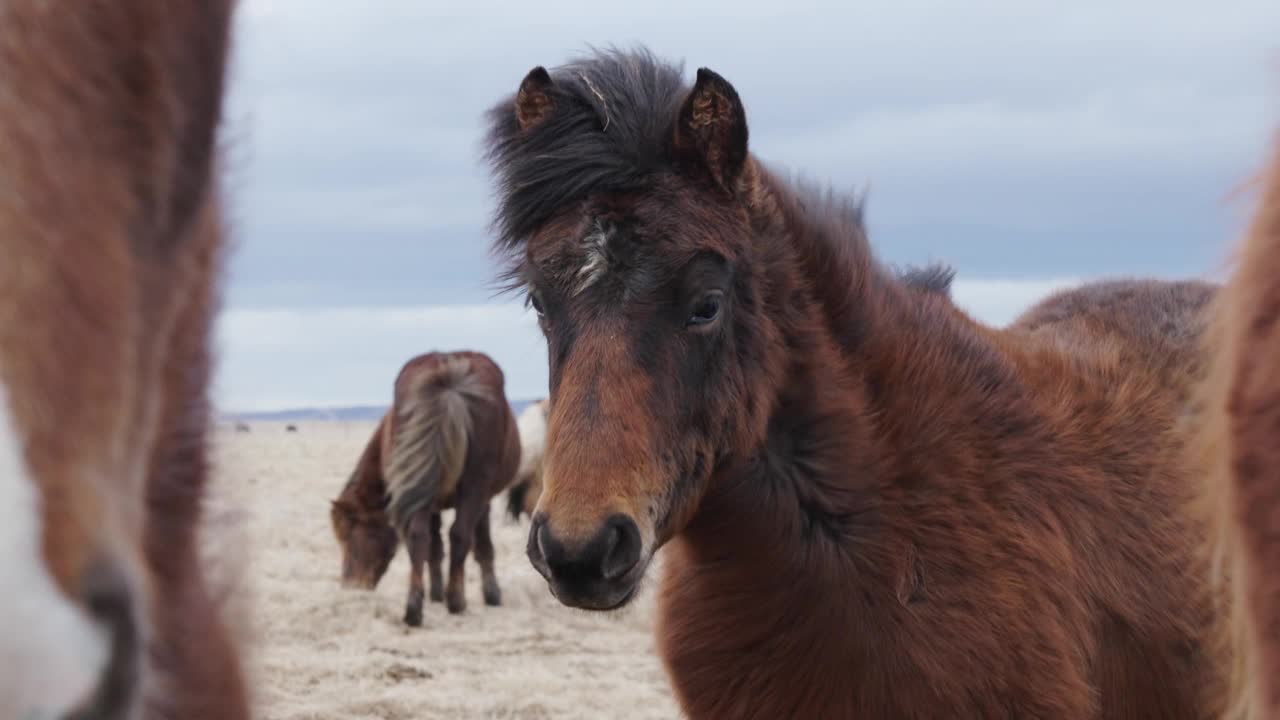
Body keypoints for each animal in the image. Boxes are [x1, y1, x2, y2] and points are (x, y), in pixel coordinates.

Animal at [335, 351, 524, 625]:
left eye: (351, 535)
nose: (350, 585)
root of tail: (448, 373)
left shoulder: (428, 497)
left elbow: (434, 548)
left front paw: (435, 594)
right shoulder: (481, 499)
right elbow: (478, 546)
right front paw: (489, 594)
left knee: (419, 536)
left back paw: (415, 607)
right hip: (474, 485)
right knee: (459, 535)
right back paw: (455, 600)